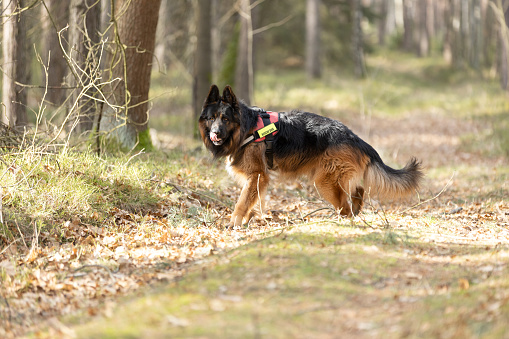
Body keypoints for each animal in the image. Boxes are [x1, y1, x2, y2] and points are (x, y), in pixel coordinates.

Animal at [197, 85, 420, 228]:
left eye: (225, 119)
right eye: (211, 118)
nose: (215, 133)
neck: (247, 128)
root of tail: (355, 138)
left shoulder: (258, 175)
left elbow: (242, 201)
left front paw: (233, 222)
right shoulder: (257, 179)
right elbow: (253, 201)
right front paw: (247, 220)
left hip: (325, 182)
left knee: (346, 207)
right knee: (358, 192)